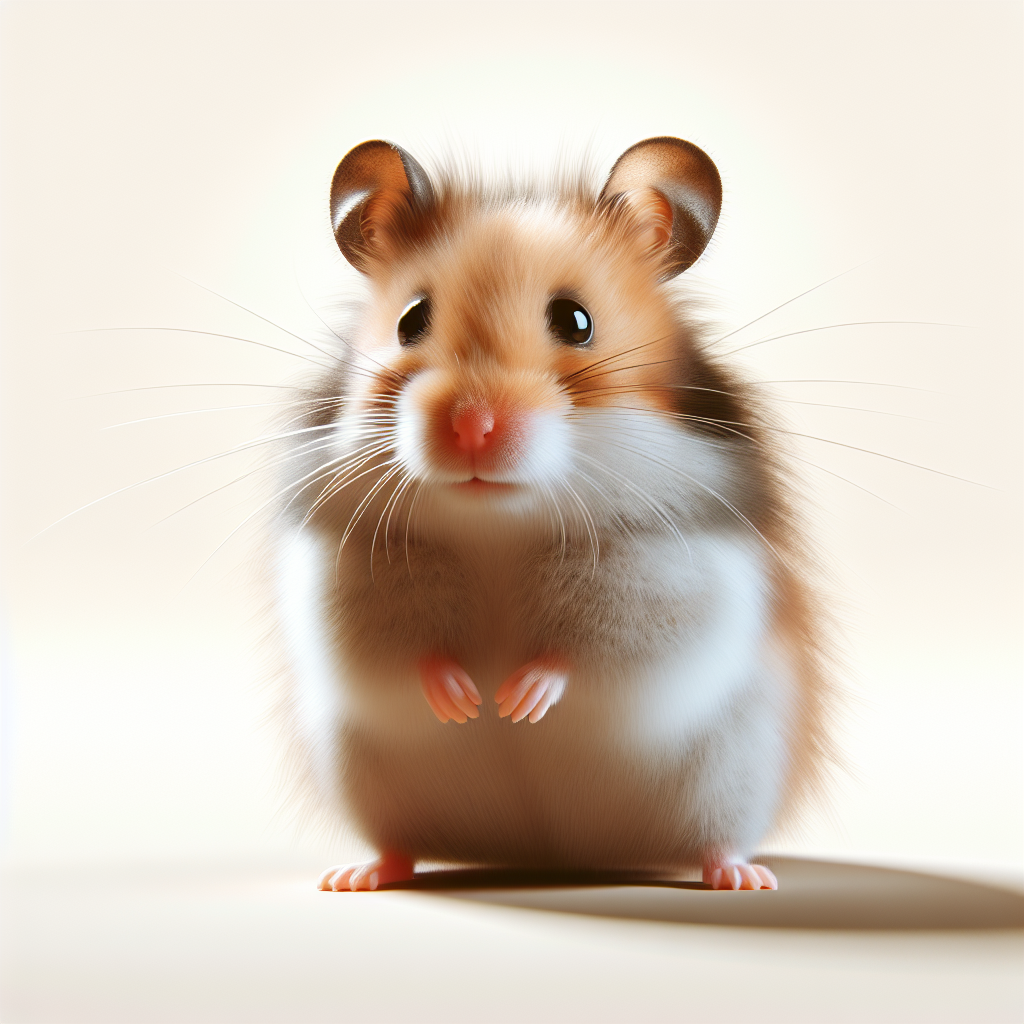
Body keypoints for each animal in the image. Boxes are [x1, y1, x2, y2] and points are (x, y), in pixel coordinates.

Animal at [273, 137, 833, 892]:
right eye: (411, 320)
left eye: (576, 320)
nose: (473, 427)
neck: (497, 523)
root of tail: (552, 855)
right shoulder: (349, 569)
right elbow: (404, 647)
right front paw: (465, 701)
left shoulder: (675, 573)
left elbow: (589, 651)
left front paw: (517, 701)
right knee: (398, 841)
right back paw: (357, 876)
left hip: (734, 774)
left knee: (715, 839)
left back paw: (742, 878)